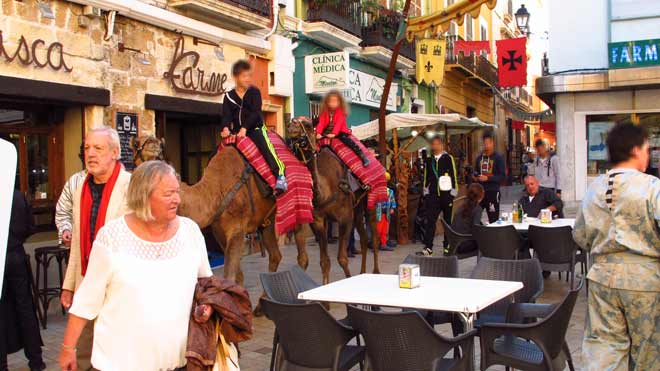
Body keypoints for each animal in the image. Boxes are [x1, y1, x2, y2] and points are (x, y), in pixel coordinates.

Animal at [286, 117, 378, 284]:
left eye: (308, 124)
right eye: (292, 122)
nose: (292, 125)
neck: (324, 192)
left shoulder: (345, 218)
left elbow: (342, 258)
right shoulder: (318, 220)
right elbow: (324, 261)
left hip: (370, 202)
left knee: (373, 238)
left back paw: (376, 271)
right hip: (357, 208)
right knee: (363, 238)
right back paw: (363, 272)